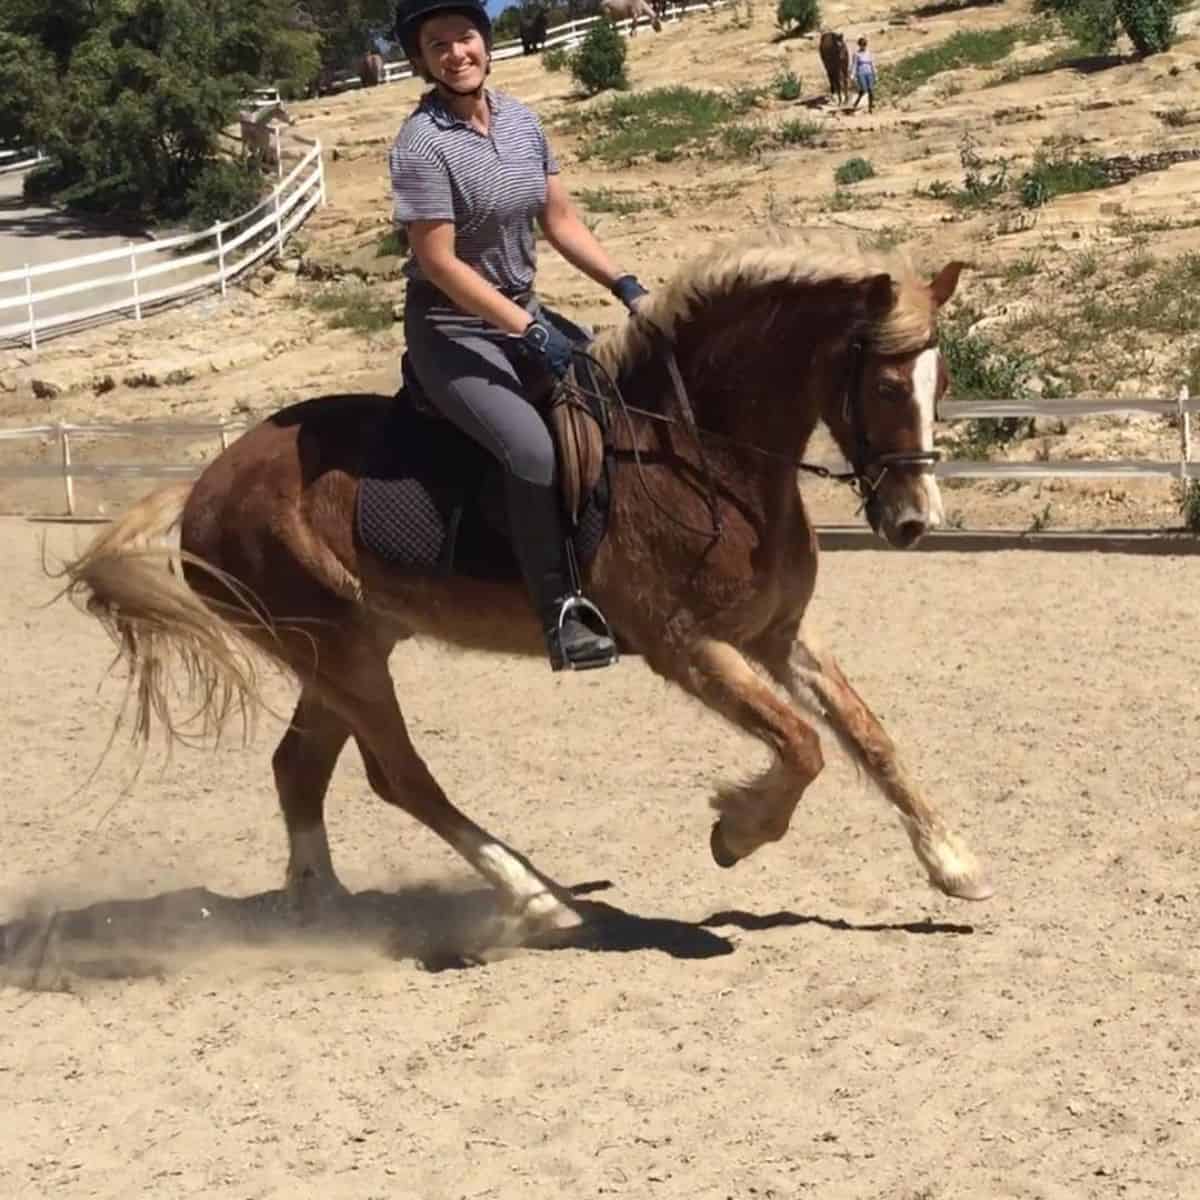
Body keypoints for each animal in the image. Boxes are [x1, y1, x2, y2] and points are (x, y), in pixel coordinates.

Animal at [70, 231, 998, 945]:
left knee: (300, 767)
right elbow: (803, 746)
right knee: (401, 778)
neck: (702, 457)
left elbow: (867, 736)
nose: (914, 522)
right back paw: (537, 900)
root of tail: (203, 486)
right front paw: (735, 831)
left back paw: (323, 908)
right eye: (887, 385)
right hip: (339, 656)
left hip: (340, 652)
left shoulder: (778, 633)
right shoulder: (687, 646)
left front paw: (954, 866)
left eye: (944, 385)